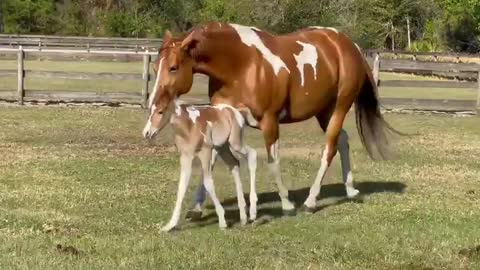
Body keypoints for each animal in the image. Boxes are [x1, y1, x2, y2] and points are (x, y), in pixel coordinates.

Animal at [143, 100, 258, 231]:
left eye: (160, 111)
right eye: (150, 110)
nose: (146, 133)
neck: (189, 126)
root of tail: (235, 111)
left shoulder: (205, 153)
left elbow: (208, 183)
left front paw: (222, 220)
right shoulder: (186, 157)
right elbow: (182, 187)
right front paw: (169, 226)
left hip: (235, 143)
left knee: (252, 154)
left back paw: (253, 212)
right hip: (223, 147)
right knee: (234, 164)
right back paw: (243, 216)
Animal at [144, 22, 400, 216]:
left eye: (174, 67)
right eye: (155, 67)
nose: (153, 103)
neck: (241, 64)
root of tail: (349, 45)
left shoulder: (269, 122)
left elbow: (272, 162)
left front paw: (286, 204)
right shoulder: (222, 119)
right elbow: (212, 161)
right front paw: (196, 206)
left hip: (340, 107)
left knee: (329, 149)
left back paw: (310, 201)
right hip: (324, 112)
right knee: (343, 140)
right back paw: (350, 190)